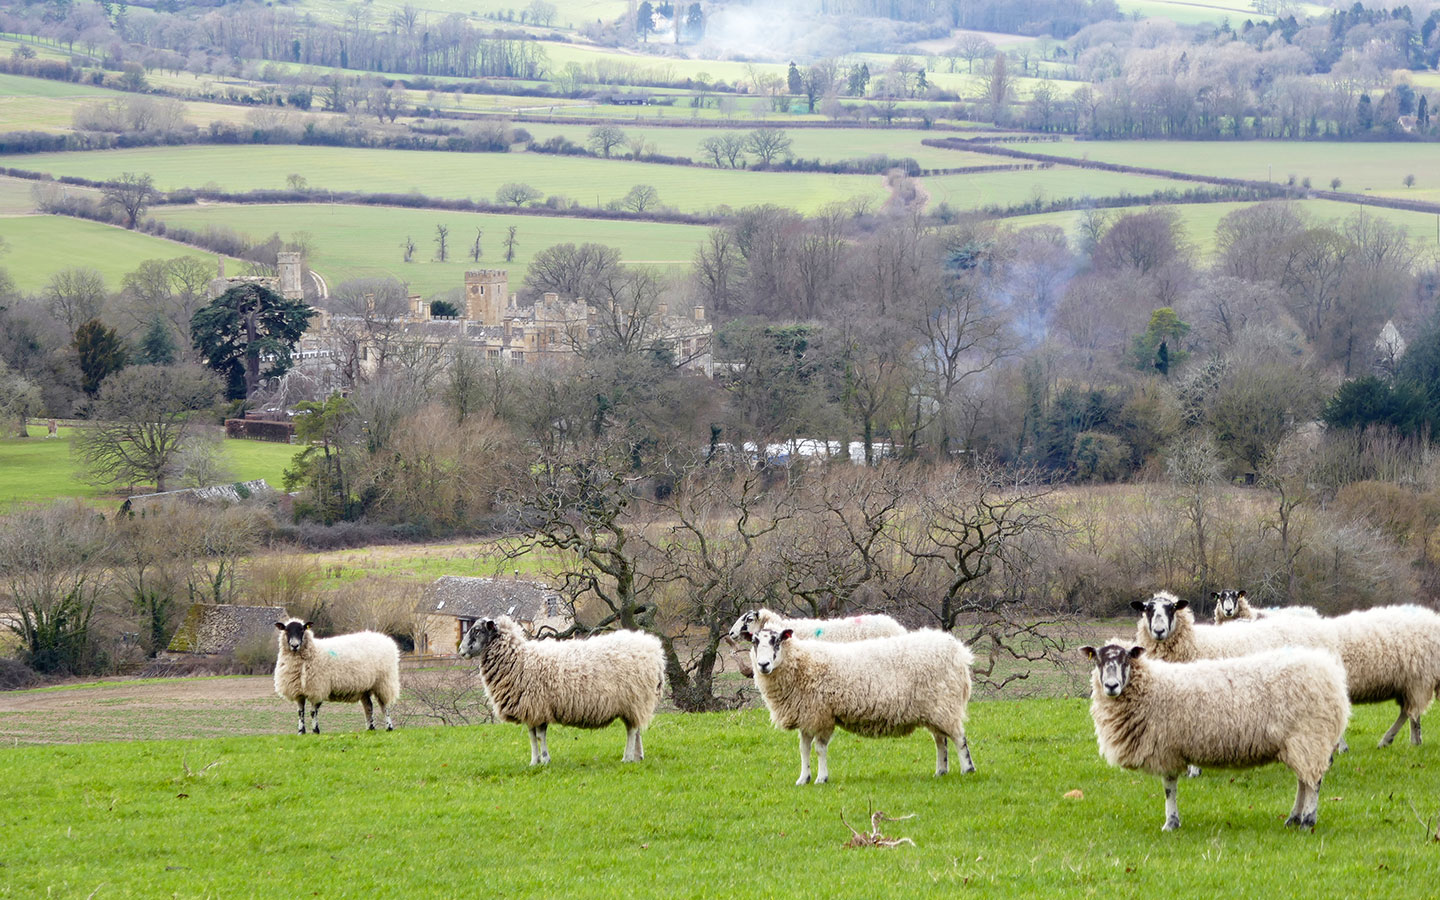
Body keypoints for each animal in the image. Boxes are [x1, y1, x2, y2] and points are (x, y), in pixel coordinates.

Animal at [272, 616, 400, 737]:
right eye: (286, 630)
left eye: (302, 630)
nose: (295, 645)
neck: (313, 652)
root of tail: (385, 638)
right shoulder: (299, 691)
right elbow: (300, 712)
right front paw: (301, 732)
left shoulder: (318, 688)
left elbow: (313, 712)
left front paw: (315, 731)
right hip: (365, 687)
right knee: (369, 706)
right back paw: (370, 728)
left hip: (383, 682)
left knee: (384, 706)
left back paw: (389, 727)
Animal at [457, 610, 665, 766]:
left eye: (477, 630)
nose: (460, 650)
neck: (519, 658)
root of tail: (655, 651)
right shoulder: (530, 709)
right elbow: (532, 737)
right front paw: (534, 762)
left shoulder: (538, 706)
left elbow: (540, 736)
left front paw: (545, 760)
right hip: (636, 701)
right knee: (636, 729)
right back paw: (638, 756)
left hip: (634, 697)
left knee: (631, 730)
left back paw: (627, 757)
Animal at [748, 627, 973, 783]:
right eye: (754, 642)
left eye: (776, 641)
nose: (763, 665)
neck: (801, 663)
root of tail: (960, 653)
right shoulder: (807, 715)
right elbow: (804, 750)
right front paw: (803, 779)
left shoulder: (823, 716)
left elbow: (819, 749)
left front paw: (821, 778)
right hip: (935, 709)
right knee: (941, 740)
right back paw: (941, 771)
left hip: (945, 703)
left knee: (958, 738)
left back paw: (967, 769)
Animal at [1082, 639, 1347, 829]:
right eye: (1098, 661)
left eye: (1126, 659)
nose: (1111, 686)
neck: (1151, 687)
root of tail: (1331, 674)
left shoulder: (1166, 748)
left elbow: (1169, 788)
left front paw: (1171, 823)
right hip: (1300, 743)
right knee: (1304, 780)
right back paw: (1293, 818)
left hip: (1310, 736)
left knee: (1313, 782)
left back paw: (1307, 821)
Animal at [1128, 593, 1440, 748]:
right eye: (1146, 609)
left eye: (1172, 609)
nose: (1158, 631)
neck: (1197, 644)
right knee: (1407, 712)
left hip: (1417, 678)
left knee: (1411, 712)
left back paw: (1403, 742)